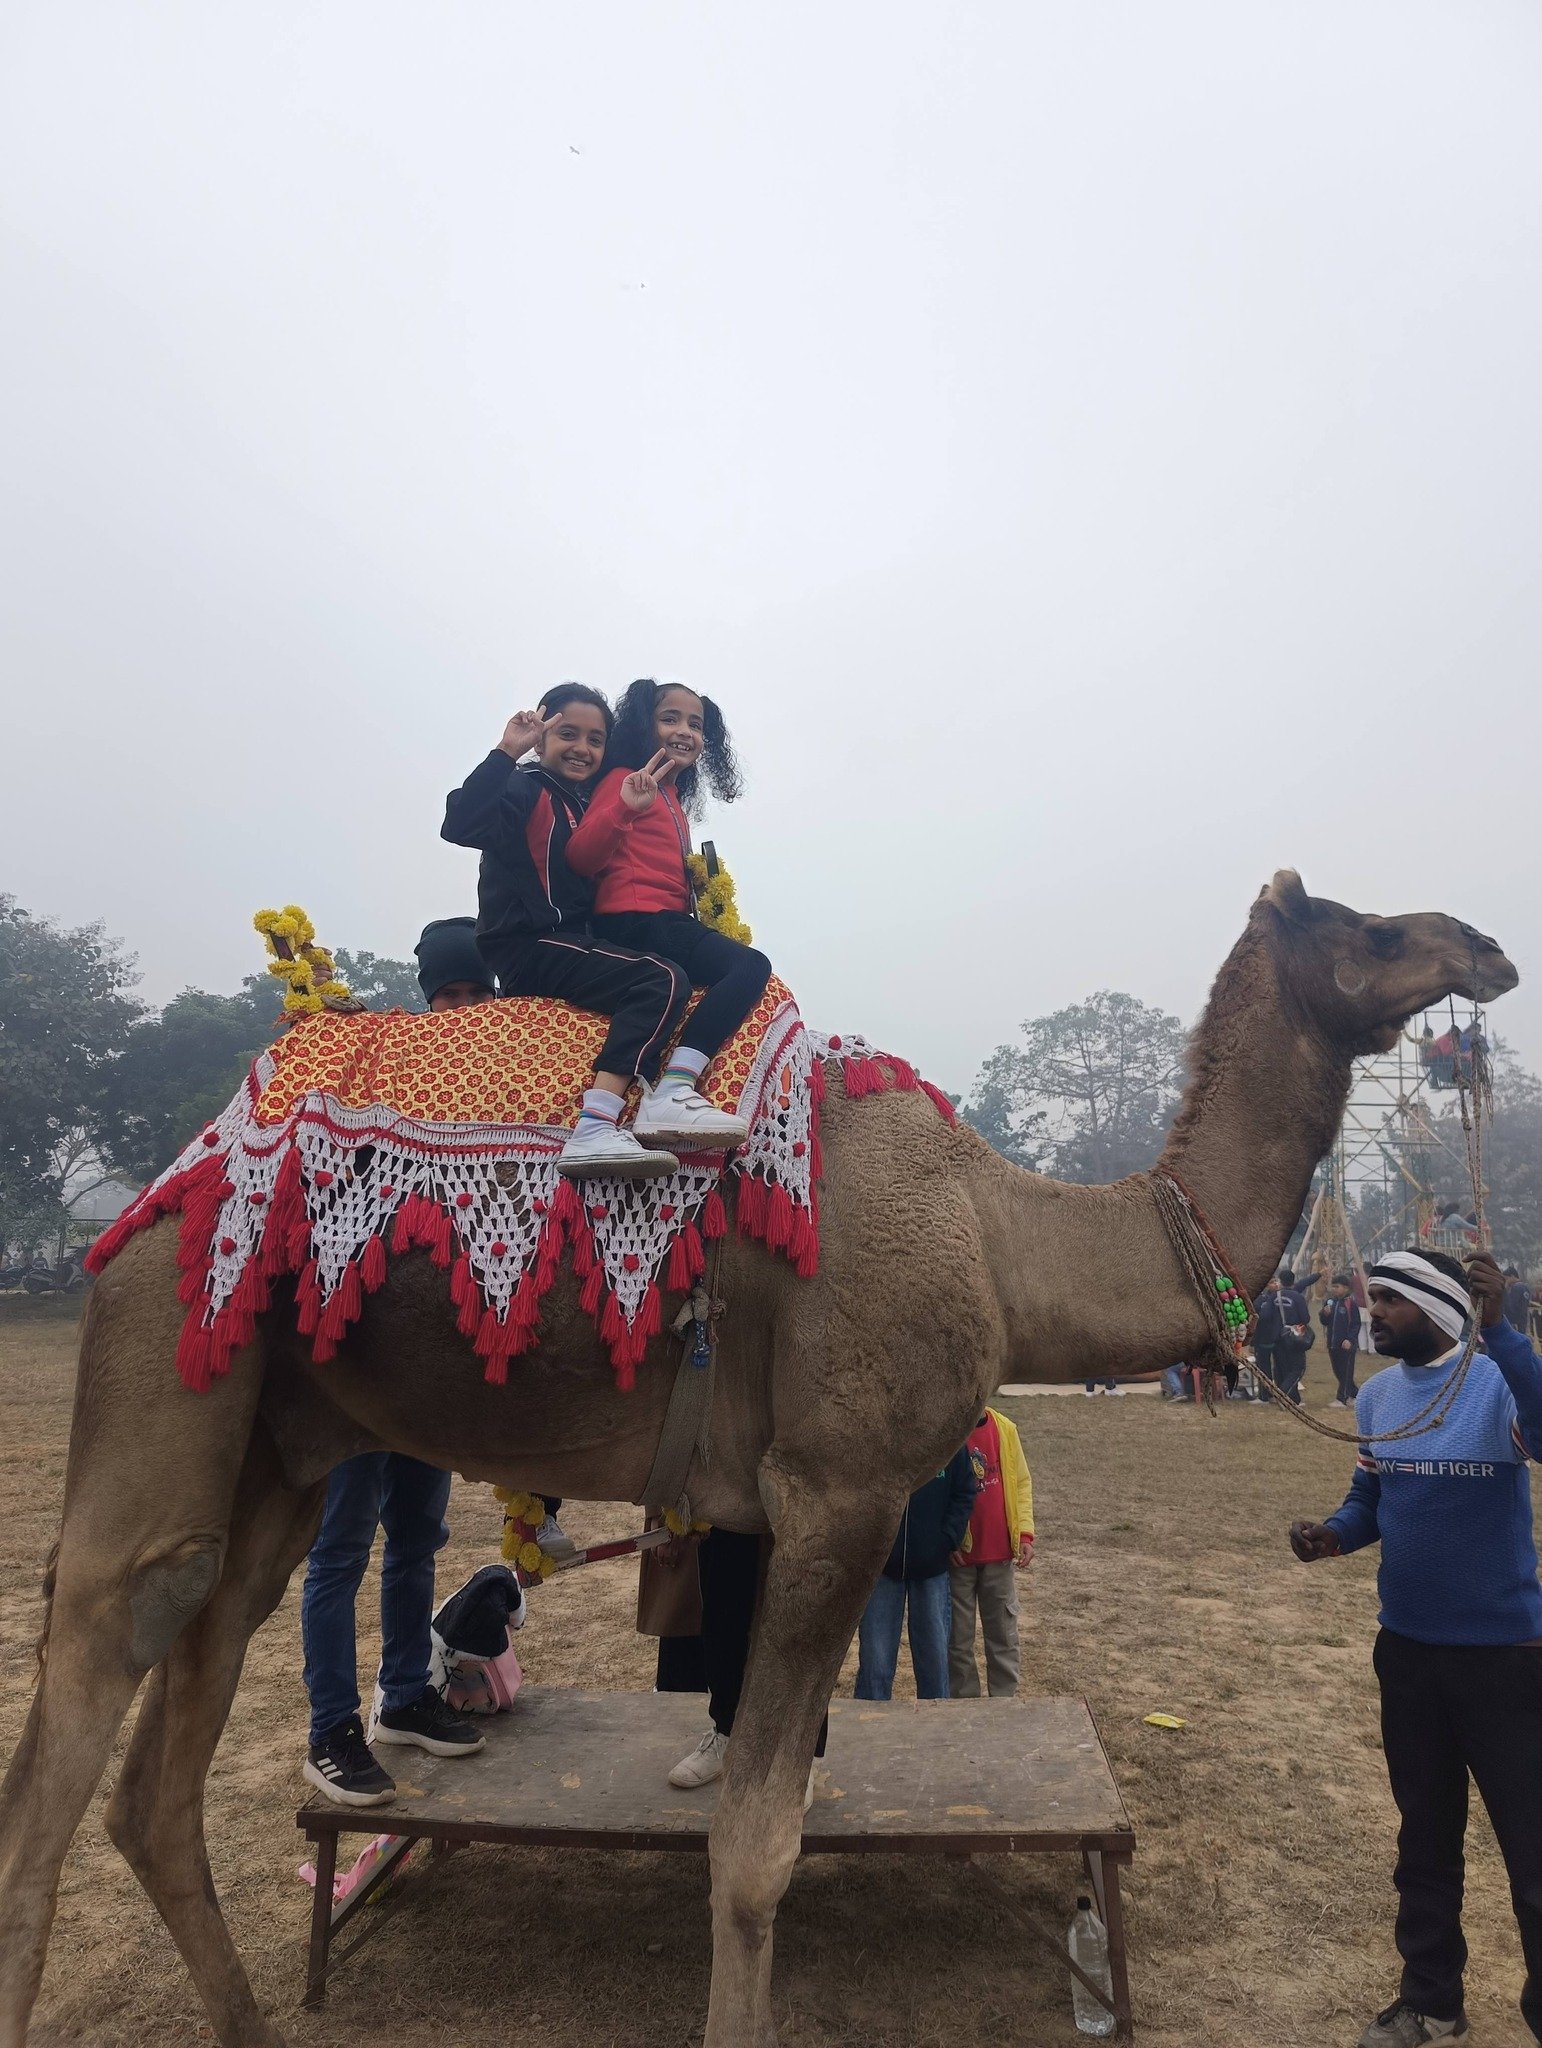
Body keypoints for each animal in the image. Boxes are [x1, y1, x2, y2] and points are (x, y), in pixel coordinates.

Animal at [0, 870, 1518, 2048]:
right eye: (1373, 925)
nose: (1486, 946)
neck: (1001, 1234)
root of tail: (170, 1172)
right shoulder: (840, 1492)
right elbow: (752, 1851)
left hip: (284, 1440)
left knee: (167, 1746)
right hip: (169, 1333)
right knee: (68, 1737)